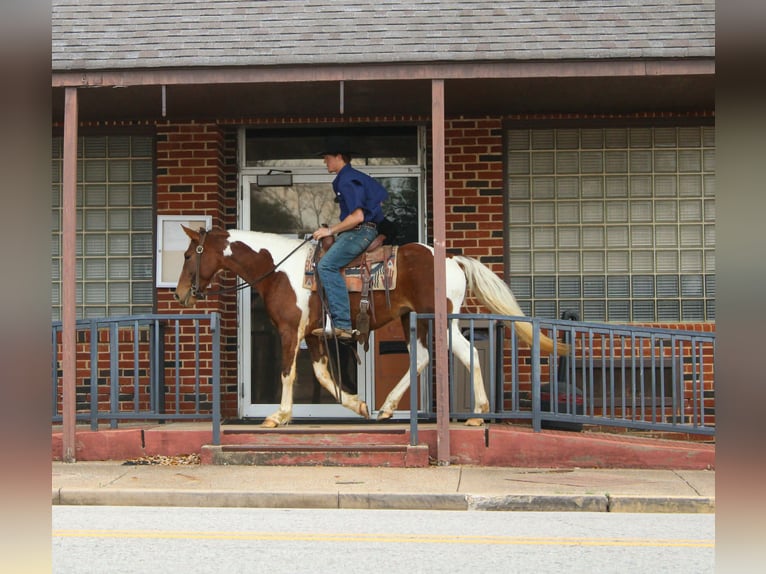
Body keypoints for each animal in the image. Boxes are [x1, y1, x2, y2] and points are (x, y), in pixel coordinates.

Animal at [173, 226, 570, 428]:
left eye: (189, 254)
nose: (179, 294)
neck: (280, 269)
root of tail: (452, 259)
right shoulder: (314, 336)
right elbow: (324, 378)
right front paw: (359, 405)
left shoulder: (290, 331)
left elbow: (288, 372)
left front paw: (279, 416)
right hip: (414, 319)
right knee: (423, 358)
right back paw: (390, 406)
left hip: (439, 320)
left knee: (467, 351)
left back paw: (477, 414)